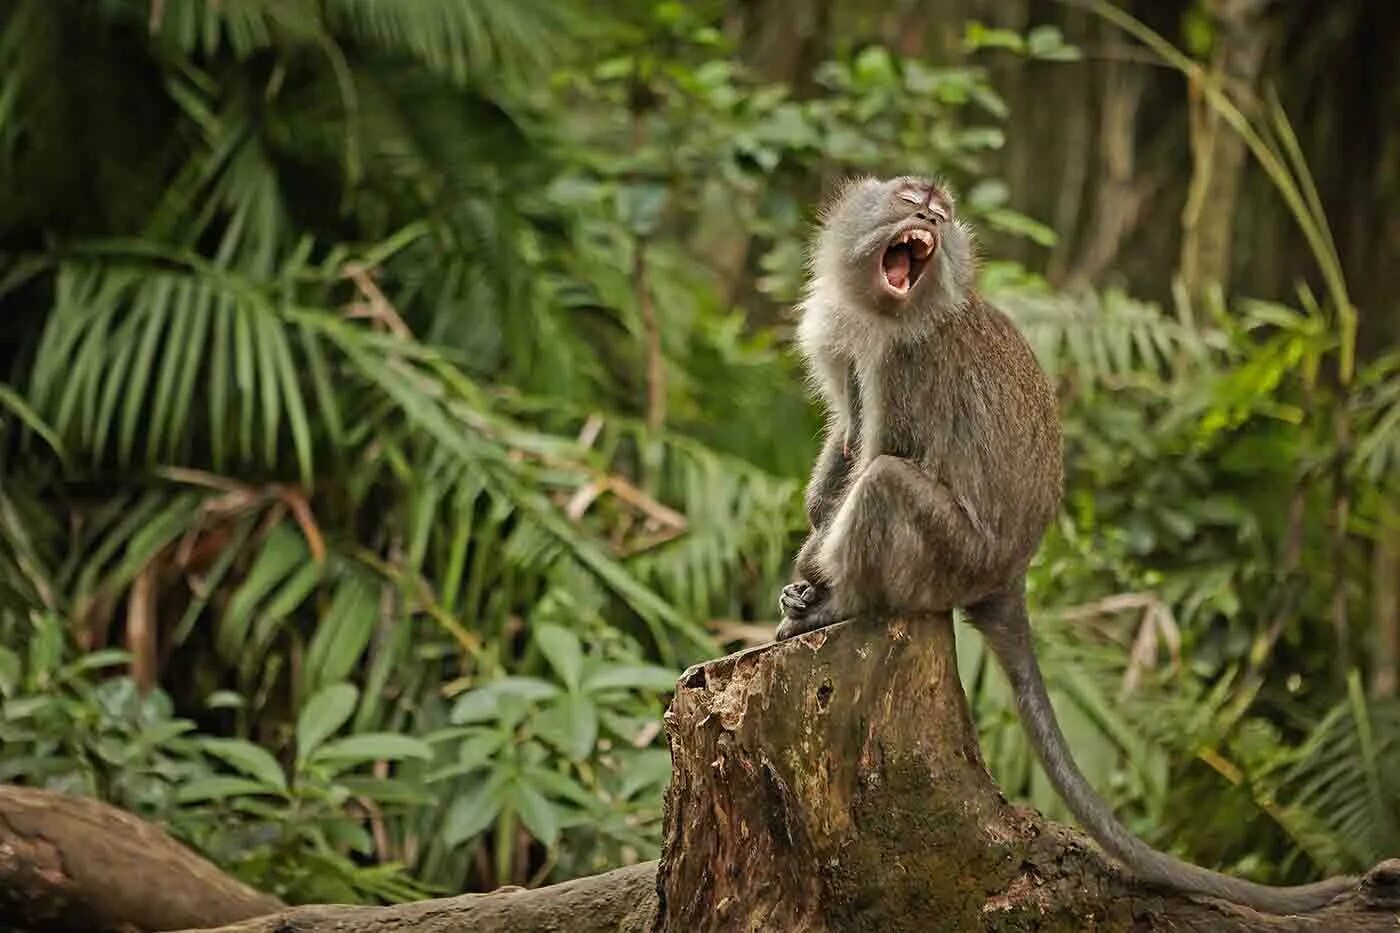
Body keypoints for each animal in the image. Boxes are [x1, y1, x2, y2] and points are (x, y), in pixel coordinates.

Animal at [778, 172, 1355, 907]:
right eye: (912, 197)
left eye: (941, 212)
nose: (926, 216)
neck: (879, 312)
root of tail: (1010, 574)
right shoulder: (838, 331)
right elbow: (846, 438)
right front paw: (809, 532)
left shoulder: (905, 364)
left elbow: (879, 450)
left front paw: (815, 573)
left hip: (950, 556)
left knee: (884, 485)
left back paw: (841, 603)